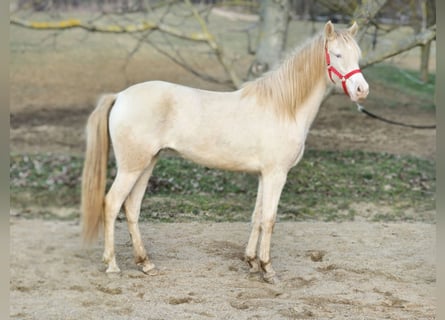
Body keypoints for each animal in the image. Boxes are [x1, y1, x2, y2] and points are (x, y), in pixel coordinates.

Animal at [80, 21, 368, 284]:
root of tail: (120, 96)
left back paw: (145, 263)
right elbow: (270, 219)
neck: (284, 107)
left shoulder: (264, 175)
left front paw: (251, 262)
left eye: (357, 54)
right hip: (131, 167)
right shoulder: (276, 174)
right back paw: (112, 265)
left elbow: (256, 217)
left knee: (131, 208)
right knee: (111, 203)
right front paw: (268, 269)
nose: (362, 90)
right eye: (337, 54)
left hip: (147, 164)